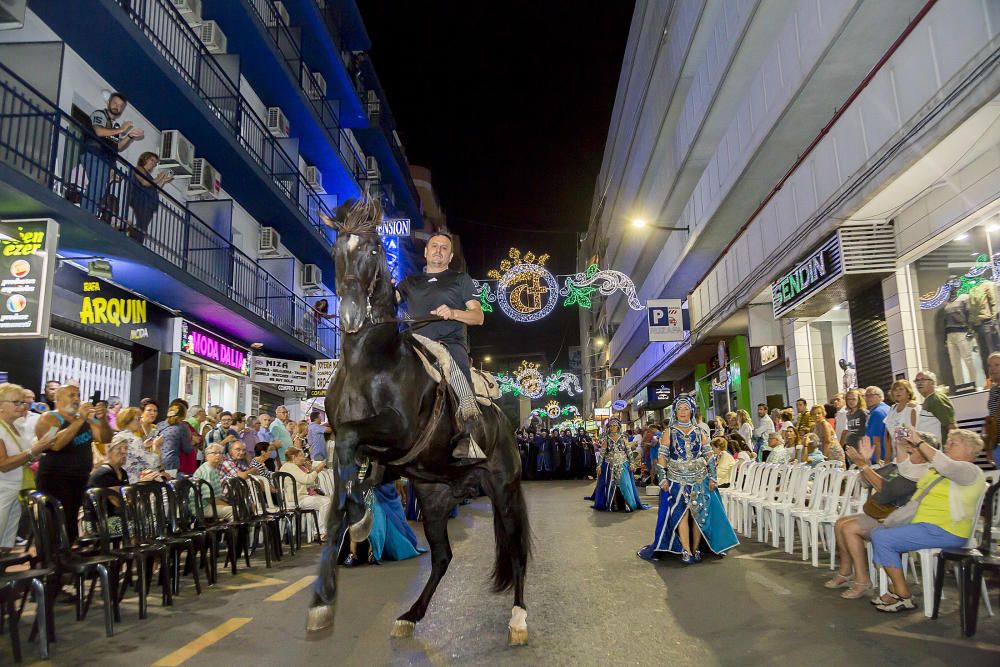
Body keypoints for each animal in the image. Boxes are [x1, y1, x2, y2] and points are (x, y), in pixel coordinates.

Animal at [308, 196, 532, 644]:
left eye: (373, 250)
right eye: (336, 249)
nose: (351, 316)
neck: (370, 362)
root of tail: (505, 426)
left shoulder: (396, 430)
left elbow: (351, 441)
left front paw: (359, 513)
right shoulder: (351, 441)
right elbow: (339, 495)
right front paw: (323, 598)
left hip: (503, 488)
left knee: (515, 551)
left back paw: (518, 619)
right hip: (433, 495)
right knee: (442, 557)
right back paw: (410, 615)